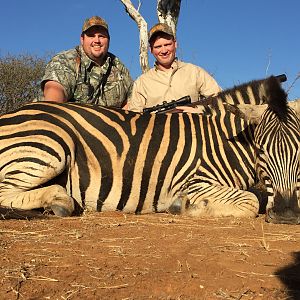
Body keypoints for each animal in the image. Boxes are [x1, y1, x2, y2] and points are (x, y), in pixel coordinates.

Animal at [0, 76, 298, 224]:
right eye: (262, 150)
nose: (286, 215)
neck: (225, 141)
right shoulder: (194, 182)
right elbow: (250, 202)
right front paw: (184, 207)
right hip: (50, 146)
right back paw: (59, 201)